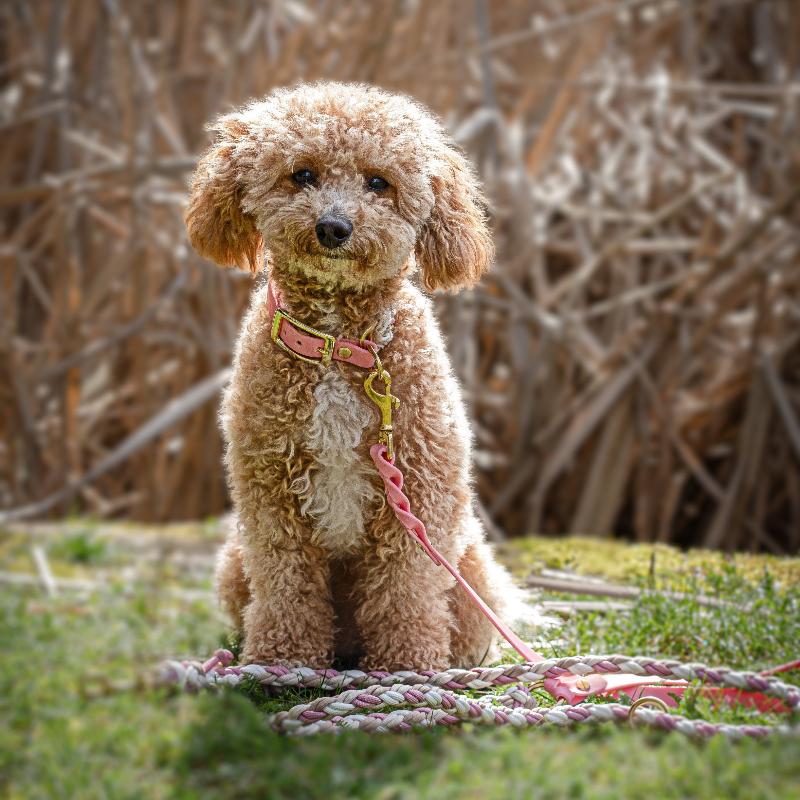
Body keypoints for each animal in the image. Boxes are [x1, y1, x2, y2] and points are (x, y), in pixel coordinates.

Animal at [187, 83, 524, 668]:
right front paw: (281, 657)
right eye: (302, 174)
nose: (333, 227)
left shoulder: (419, 488)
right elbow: (287, 583)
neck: (337, 346)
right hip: (233, 563)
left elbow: (405, 586)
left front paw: (408, 662)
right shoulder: (270, 494)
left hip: (473, 574)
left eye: (378, 182)